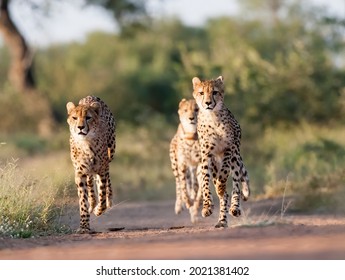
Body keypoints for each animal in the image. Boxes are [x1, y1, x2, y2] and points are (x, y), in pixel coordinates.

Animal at [66, 95, 116, 233]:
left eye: (88, 117)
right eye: (74, 118)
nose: (80, 127)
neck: (86, 143)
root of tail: (89, 97)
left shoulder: (101, 170)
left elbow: (102, 194)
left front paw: (99, 209)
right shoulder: (80, 173)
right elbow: (83, 200)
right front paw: (84, 226)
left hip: (111, 152)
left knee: (106, 178)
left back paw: (107, 200)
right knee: (90, 181)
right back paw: (92, 202)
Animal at [191, 76, 250, 228]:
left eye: (215, 92)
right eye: (201, 93)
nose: (208, 103)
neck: (212, 116)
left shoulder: (229, 149)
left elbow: (224, 175)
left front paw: (220, 187)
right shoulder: (207, 155)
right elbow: (206, 182)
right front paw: (207, 207)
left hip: (235, 157)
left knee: (236, 184)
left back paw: (234, 208)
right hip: (215, 164)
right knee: (224, 195)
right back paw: (222, 221)